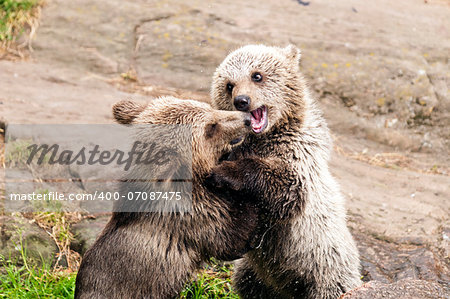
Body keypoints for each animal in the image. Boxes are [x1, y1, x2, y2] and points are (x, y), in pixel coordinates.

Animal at [208, 45, 362, 299]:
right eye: (229, 85)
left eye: (257, 75)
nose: (242, 100)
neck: (266, 138)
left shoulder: (300, 158)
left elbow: (286, 189)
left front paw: (224, 172)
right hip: (255, 274)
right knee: (248, 283)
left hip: (326, 270)